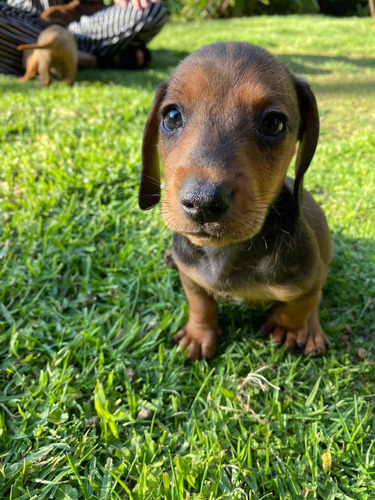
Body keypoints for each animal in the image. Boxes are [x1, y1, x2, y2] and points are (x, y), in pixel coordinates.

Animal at [140, 41, 334, 358]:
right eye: (171, 117)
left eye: (273, 123)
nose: (203, 202)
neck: (225, 252)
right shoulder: (191, 276)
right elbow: (200, 303)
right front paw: (199, 334)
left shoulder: (309, 277)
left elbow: (300, 304)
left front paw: (288, 328)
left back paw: (312, 332)